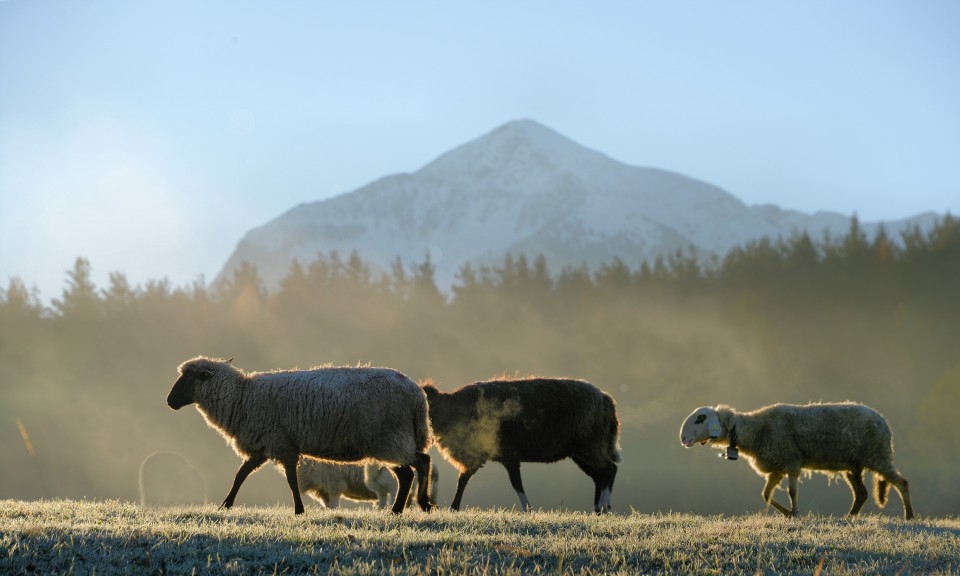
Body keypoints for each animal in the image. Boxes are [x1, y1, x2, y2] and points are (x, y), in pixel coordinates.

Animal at [422, 376, 624, 516]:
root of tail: (606, 399)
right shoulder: (488, 455)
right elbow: (464, 479)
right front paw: (454, 508)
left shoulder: (506, 454)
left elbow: (515, 483)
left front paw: (528, 509)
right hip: (582, 451)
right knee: (599, 476)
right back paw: (597, 509)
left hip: (591, 444)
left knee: (609, 470)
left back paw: (605, 506)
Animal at [676, 402, 916, 520]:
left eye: (700, 418)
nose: (683, 439)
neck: (755, 430)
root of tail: (884, 422)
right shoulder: (778, 467)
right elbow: (766, 494)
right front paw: (788, 514)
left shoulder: (791, 461)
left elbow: (792, 492)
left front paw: (796, 513)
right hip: (854, 464)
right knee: (862, 494)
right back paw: (850, 517)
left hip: (878, 454)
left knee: (902, 483)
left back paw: (910, 516)